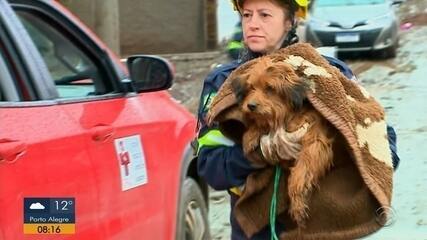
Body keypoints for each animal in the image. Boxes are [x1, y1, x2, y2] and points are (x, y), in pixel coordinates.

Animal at [232, 56, 340, 227]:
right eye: (250, 88)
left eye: (270, 88)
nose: (250, 106)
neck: (287, 116)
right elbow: (264, 122)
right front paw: (251, 134)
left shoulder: (315, 143)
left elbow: (301, 171)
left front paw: (297, 202)